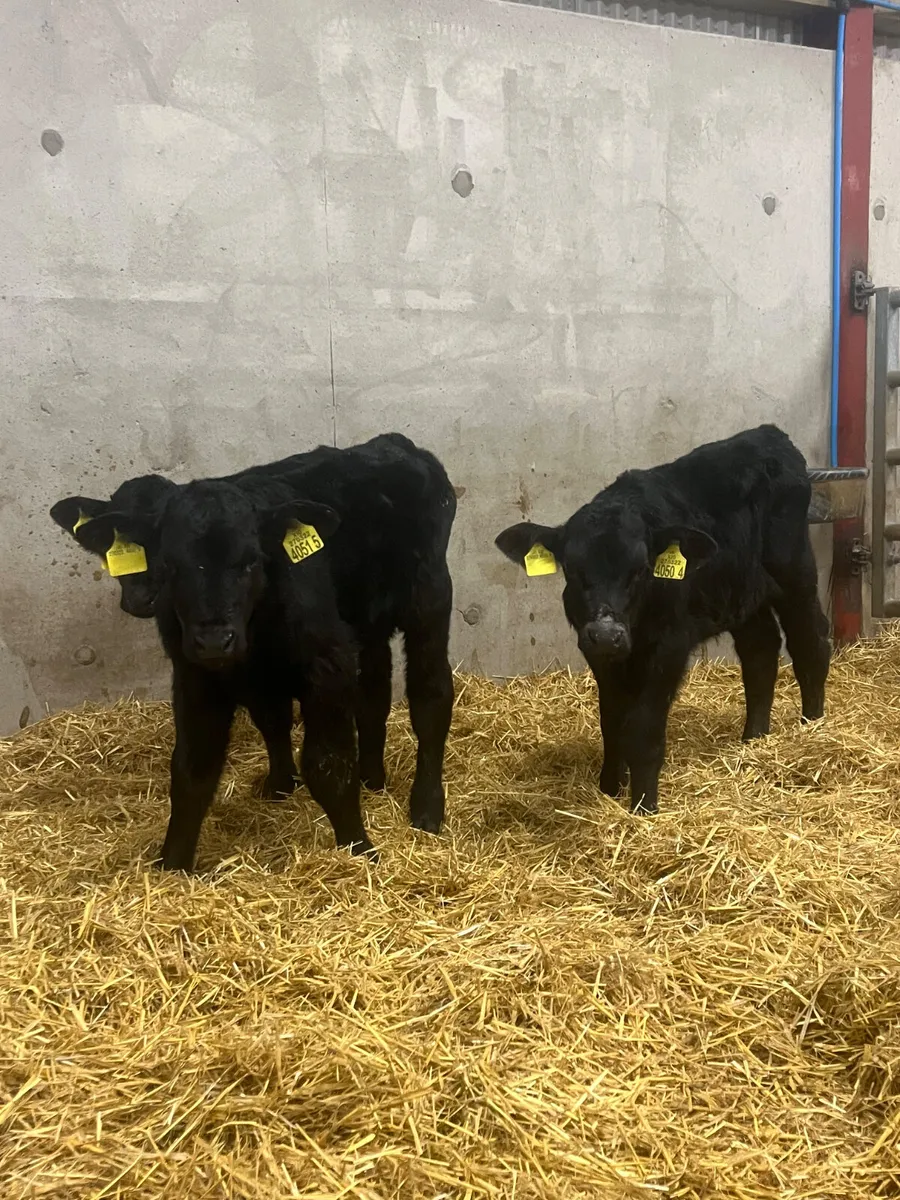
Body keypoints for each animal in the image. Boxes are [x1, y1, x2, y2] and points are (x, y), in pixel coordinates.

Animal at [55, 434, 456, 869]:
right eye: (169, 564)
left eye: (250, 562)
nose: (215, 639)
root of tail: (393, 443)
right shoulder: (197, 674)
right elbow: (195, 768)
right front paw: (172, 863)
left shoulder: (327, 665)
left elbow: (327, 765)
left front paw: (358, 849)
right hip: (366, 627)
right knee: (373, 696)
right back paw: (372, 779)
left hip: (430, 600)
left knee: (430, 698)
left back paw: (427, 808)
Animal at [494, 425, 831, 816]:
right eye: (574, 570)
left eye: (640, 569)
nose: (607, 633)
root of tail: (769, 434)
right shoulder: (596, 650)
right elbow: (611, 721)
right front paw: (609, 789)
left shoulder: (669, 647)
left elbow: (643, 728)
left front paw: (643, 806)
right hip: (742, 592)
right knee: (760, 651)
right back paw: (754, 738)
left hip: (794, 571)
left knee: (810, 640)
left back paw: (812, 725)